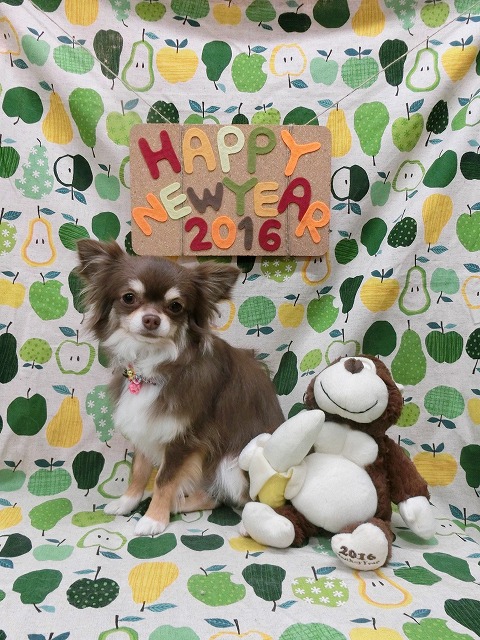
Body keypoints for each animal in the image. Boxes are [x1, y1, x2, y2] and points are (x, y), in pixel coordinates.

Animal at [76, 239, 284, 535]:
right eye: (128, 297)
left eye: (175, 306)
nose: (152, 319)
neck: (152, 368)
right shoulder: (146, 427)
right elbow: (139, 471)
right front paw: (127, 502)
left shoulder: (185, 439)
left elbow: (164, 478)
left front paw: (154, 519)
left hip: (231, 462)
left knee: (227, 497)